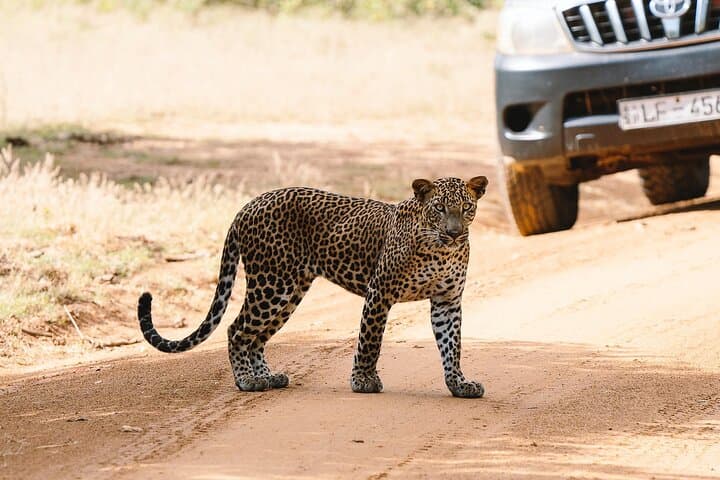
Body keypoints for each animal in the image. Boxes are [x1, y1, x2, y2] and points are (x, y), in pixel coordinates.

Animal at [138, 175, 489, 398]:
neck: (441, 249)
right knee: (237, 330)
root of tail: (247, 206)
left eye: (466, 208)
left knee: (256, 337)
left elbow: (452, 346)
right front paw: (363, 380)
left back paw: (266, 377)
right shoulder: (380, 292)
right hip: (272, 283)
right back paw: (247, 381)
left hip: (289, 290)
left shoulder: (447, 300)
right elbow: (370, 341)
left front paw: (459, 384)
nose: (455, 232)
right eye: (439, 208)